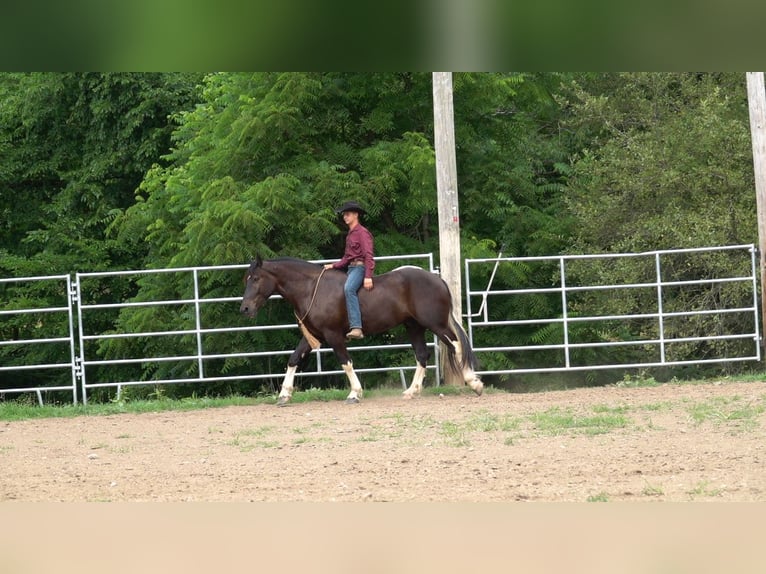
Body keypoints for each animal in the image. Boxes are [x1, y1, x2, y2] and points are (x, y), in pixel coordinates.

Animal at [240, 256, 484, 404]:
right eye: (247, 278)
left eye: (256, 278)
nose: (245, 308)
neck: (311, 289)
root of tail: (437, 279)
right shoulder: (314, 336)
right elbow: (293, 359)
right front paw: (284, 394)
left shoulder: (333, 335)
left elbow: (345, 362)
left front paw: (355, 393)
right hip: (414, 327)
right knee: (422, 355)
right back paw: (411, 391)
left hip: (436, 325)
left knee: (456, 346)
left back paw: (475, 383)